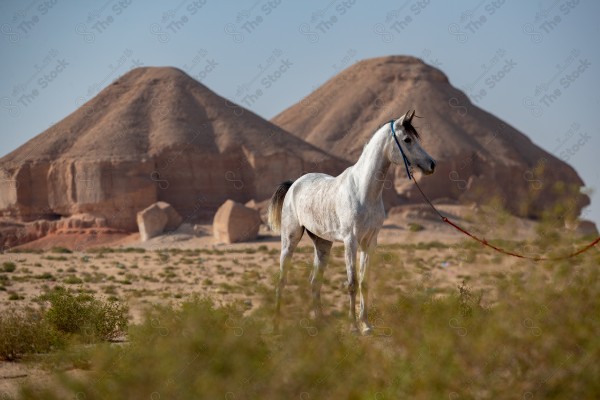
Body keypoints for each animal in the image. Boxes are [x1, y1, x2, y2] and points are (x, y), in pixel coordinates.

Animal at [268, 110, 436, 334]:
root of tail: (294, 184)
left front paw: (366, 324)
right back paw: (276, 323)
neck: (363, 190)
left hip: (323, 244)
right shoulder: (351, 241)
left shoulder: (369, 242)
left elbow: (364, 282)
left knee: (314, 282)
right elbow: (352, 284)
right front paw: (354, 326)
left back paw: (320, 321)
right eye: (407, 139)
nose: (432, 164)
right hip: (290, 239)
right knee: (282, 280)